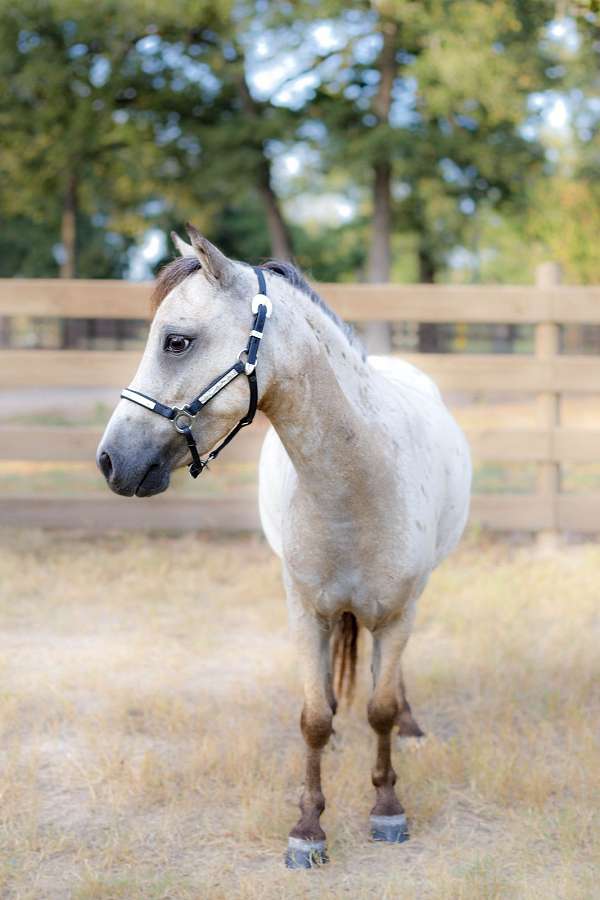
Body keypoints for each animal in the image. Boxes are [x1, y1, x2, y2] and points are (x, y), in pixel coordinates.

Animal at [97, 226, 471, 869]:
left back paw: (410, 726)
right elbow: (314, 718)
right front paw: (308, 828)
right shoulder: (304, 612)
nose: (110, 461)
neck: (359, 482)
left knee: (391, 682)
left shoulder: (398, 613)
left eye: (176, 341)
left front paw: (387, 808)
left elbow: (380, 707)